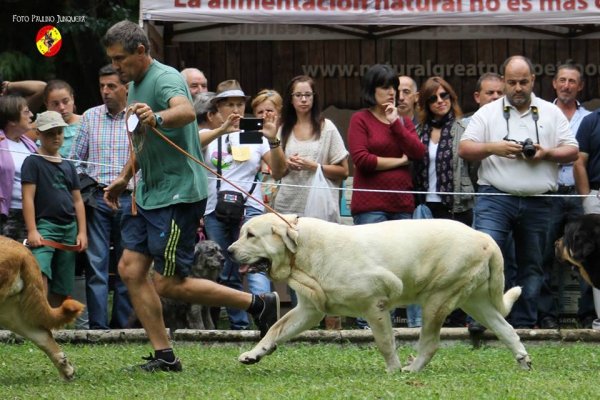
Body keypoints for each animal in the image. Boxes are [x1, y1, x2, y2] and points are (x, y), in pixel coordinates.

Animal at [227, 214, 532, 374]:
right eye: (243, 233)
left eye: (251, 235)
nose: (228, 251)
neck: (300, 250)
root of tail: (485, 237)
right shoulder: (309, 310)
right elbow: (275, 329)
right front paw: (254, 354)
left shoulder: (375, 304)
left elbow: (385, 342)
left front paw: (393, 371)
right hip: (474, 300)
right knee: (506, 329)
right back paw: (523, 359)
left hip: (437, 298)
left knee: (431, 343)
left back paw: (411, 370)